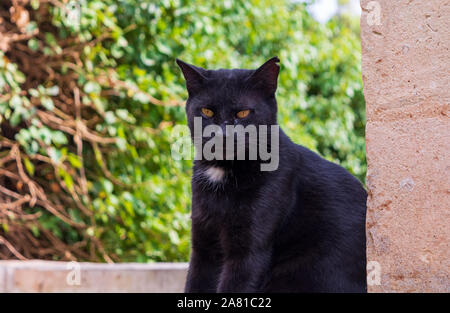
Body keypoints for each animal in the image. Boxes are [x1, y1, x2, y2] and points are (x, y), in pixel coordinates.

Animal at [175, 56, 366, 292]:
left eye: (243, 113)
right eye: (207, 112)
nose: (223, 135)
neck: (223, 171)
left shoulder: (249, 253)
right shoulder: (203, 248)